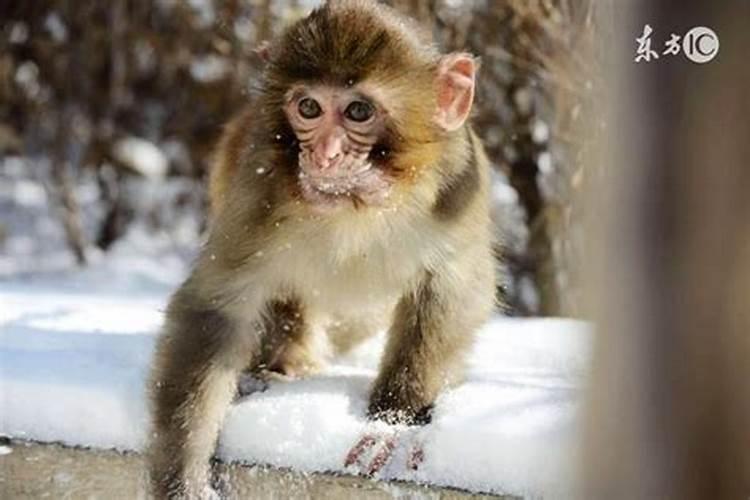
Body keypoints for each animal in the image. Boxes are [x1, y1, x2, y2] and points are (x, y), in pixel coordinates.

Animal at [149, 0, 496, 496]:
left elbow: (452, 290)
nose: (325, 156)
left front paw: (395, 418)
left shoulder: (459, 183)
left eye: (358, 111)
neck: (357, 212)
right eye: (309, 107)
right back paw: (283, 364)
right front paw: (184, 478)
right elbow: (216, 311)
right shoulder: (256, 189)